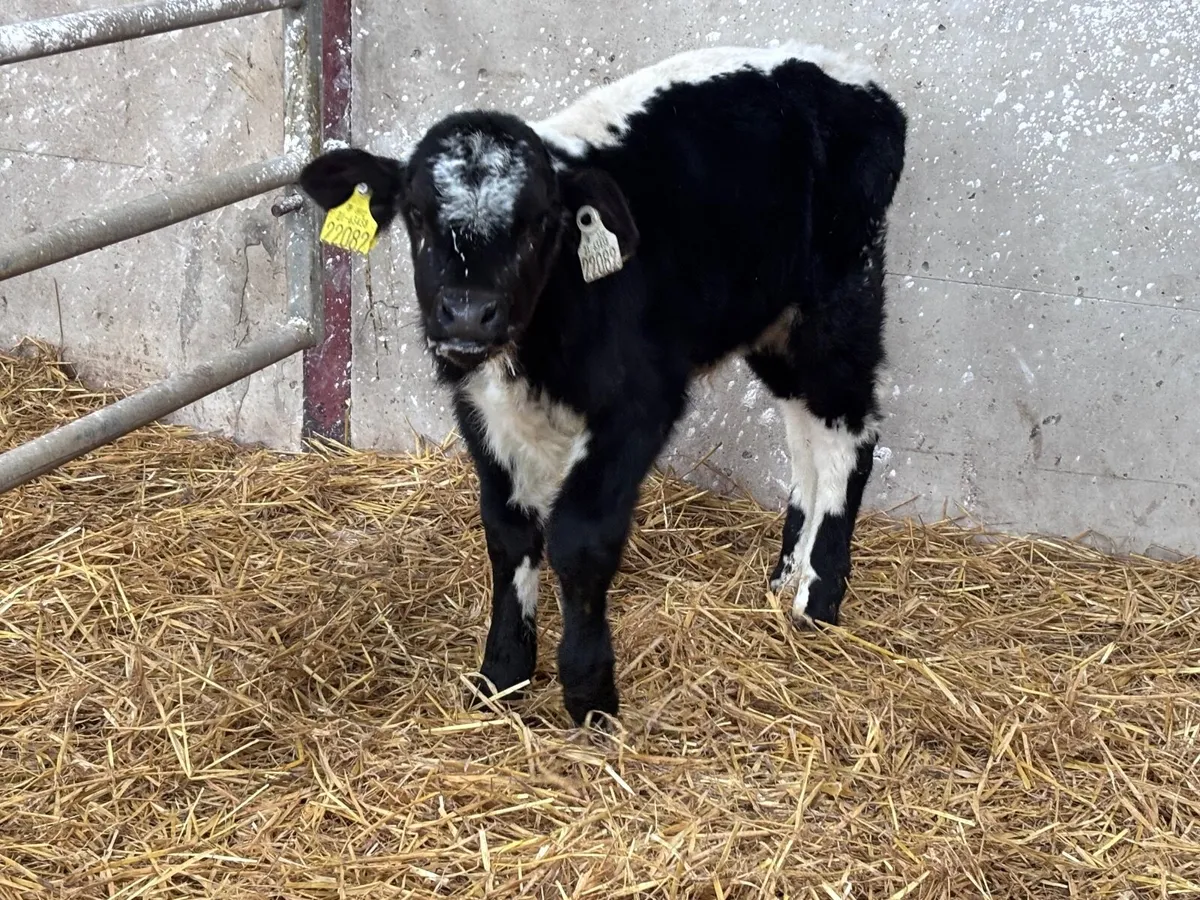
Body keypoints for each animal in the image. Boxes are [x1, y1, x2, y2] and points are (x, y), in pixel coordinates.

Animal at [297, 40, 908, 728]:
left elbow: (579, 537)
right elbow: (507, 532)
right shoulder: (479, 408)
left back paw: (817, 599)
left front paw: (590, 694)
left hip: (840, 300)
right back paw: (785, 576)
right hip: (772, 324)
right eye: (418, 216)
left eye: (540, 222)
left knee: (849, 432)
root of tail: (850, 78)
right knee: (804, 429)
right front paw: (502, 673)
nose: (467, 313)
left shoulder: (638, 404)